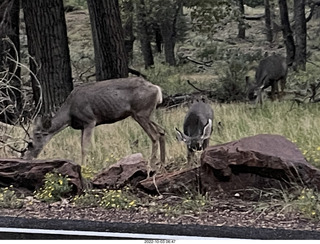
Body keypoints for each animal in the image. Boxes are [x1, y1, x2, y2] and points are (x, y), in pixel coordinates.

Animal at [23, 77, 166, 172]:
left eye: (38, 135)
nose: (28, 157)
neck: (69, 113)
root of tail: (157, 89)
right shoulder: (82, 126)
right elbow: (83, 146)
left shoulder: (89, 121)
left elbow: (85, 147)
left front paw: (85, 168)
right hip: (146, 114)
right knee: (162, 131)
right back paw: (162, 164)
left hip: (141, 112)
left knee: (154, 135)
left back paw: (151, 165)